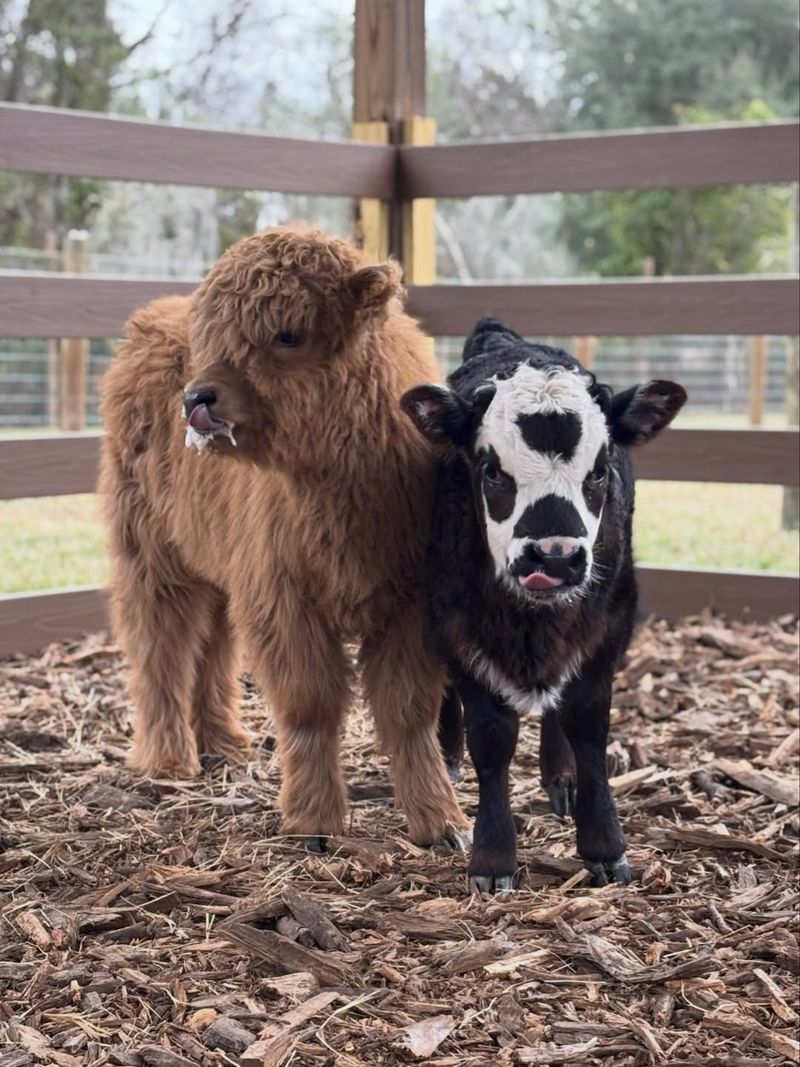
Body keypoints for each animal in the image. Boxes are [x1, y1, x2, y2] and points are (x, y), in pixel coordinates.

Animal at [402, 317, 687, 891]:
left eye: (598, 470)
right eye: (491, 470)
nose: (554, 557)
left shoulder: (609, 624)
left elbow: (586, 723)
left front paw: (603, 841)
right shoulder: (454, 622)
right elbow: (491, 736)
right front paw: (493, 854)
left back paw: (561, 776)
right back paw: (448, 757)